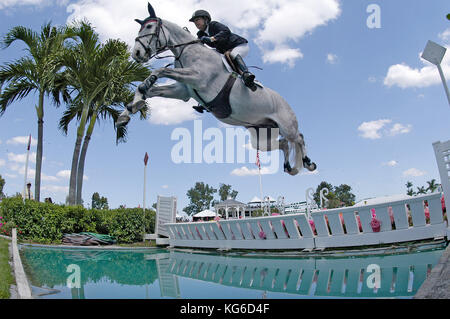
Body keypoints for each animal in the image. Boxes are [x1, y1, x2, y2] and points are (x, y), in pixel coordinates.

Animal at [119, 3, 316, 178]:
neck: (187, 51)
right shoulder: (183, 91)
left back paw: (308, 163)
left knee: (298, 137)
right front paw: (128, 111)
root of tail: (286, 102)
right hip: (261, 137)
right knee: (284, 144)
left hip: (286, 125)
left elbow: (159, 71)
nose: (136, 54)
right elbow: (148, 89)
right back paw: (289, 167)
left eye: (149, 26)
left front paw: (141, 93)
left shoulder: (197, 77)